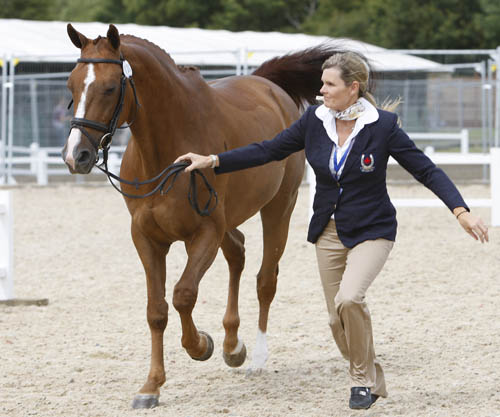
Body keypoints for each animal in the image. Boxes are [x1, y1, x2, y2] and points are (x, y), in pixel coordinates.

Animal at [61, 22, 344, 406]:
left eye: (109, 87)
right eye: (71, 85)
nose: (76, 156)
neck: (166, 151)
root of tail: (267, 86)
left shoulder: (205, 232)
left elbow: (183, 295)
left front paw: (200, 345)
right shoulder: (147, 238)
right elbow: (156, 310)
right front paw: (151, 386)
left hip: (277, 209)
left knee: (265, 280)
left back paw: (255, 356)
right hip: (230, 222)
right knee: (237, 253)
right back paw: (232, 346)